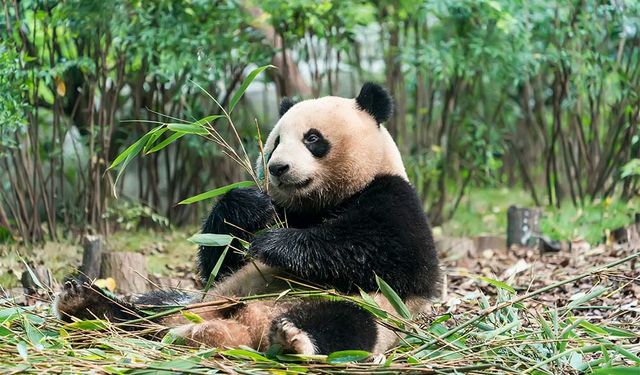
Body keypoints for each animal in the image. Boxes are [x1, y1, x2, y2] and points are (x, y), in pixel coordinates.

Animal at [55, 83, 440, 356]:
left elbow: (392, 255)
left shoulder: (392, 197)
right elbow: (219, 260)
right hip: (196, 300)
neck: (318, 202)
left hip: (364, 308)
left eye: (313, 138)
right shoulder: (280, 211)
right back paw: (87, 304)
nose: (278, 168)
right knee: (148, 310)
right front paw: (248, 205)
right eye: (275, 143)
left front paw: (275, 244)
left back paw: (291, 339)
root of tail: (243, 326)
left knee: (344, 323)